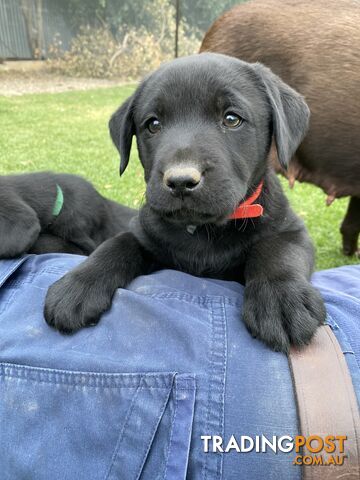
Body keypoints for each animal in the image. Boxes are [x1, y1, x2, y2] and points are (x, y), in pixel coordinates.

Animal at [45, 53, 326, 352]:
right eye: (153, 124)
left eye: (231, 119)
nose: (180, 181)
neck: (201, 231)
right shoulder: (144, 232)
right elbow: (117, 244)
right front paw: (77, 284)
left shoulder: (292, 229)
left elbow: (277, 251)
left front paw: (281, 298)